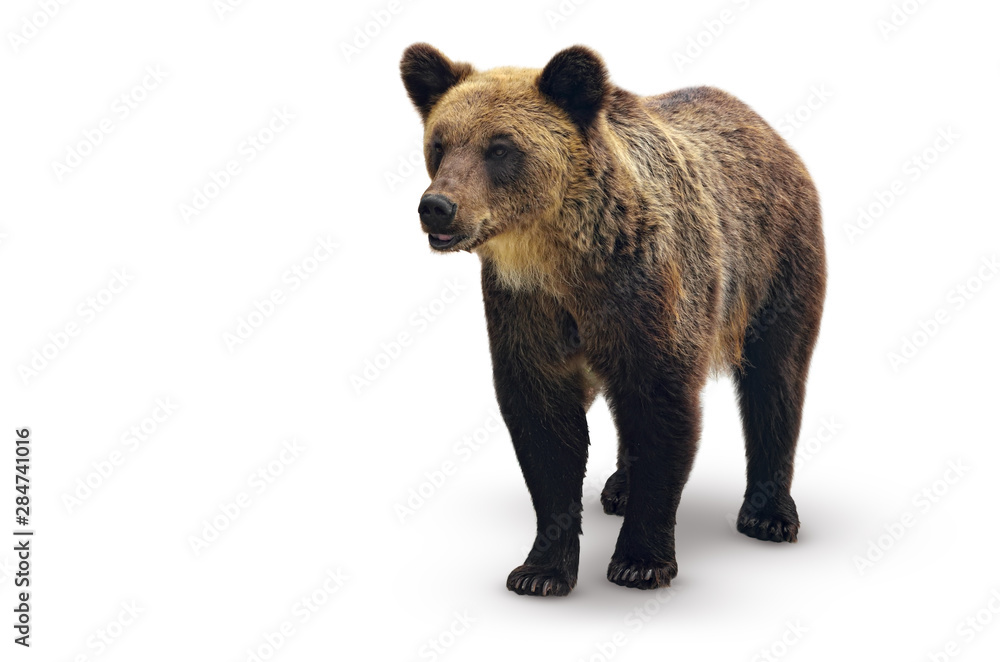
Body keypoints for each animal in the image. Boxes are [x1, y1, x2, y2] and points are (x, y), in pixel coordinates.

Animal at [400, 44, 826, 596]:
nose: (437, 206)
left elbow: (661, 413)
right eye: (439, 143)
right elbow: (544, 429)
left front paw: (639, 562)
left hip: (774, 265)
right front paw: (540, 571)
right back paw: (619, 488)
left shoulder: (650, 296)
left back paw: (769, 515)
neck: (562, 261)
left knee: (776, 377)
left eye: (500, 148)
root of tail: (765, 127)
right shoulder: (527, 310)